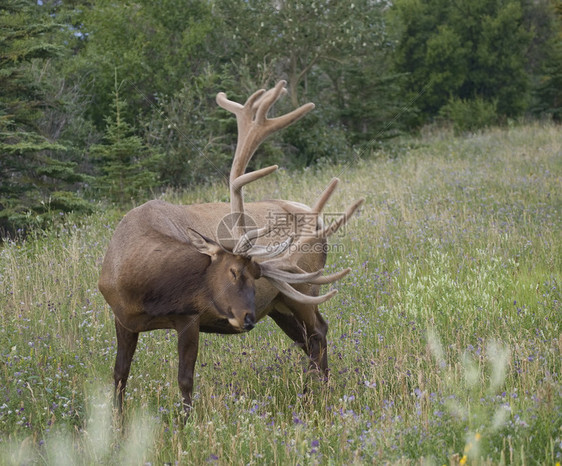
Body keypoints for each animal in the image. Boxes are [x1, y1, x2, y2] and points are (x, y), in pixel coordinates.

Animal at [98, 81, 360, 416]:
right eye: (234, 272)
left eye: (254, 276)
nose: (247, 319)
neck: (139, 287)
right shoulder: (122, 319)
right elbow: (119, 375)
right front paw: (116, 422)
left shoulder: (189, 318)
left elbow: (185, 382)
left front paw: (185, 426)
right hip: (280, 304)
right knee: (308, 339)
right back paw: (314, 394)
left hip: (303, 291)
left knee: (319, 333)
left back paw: (316, 397)